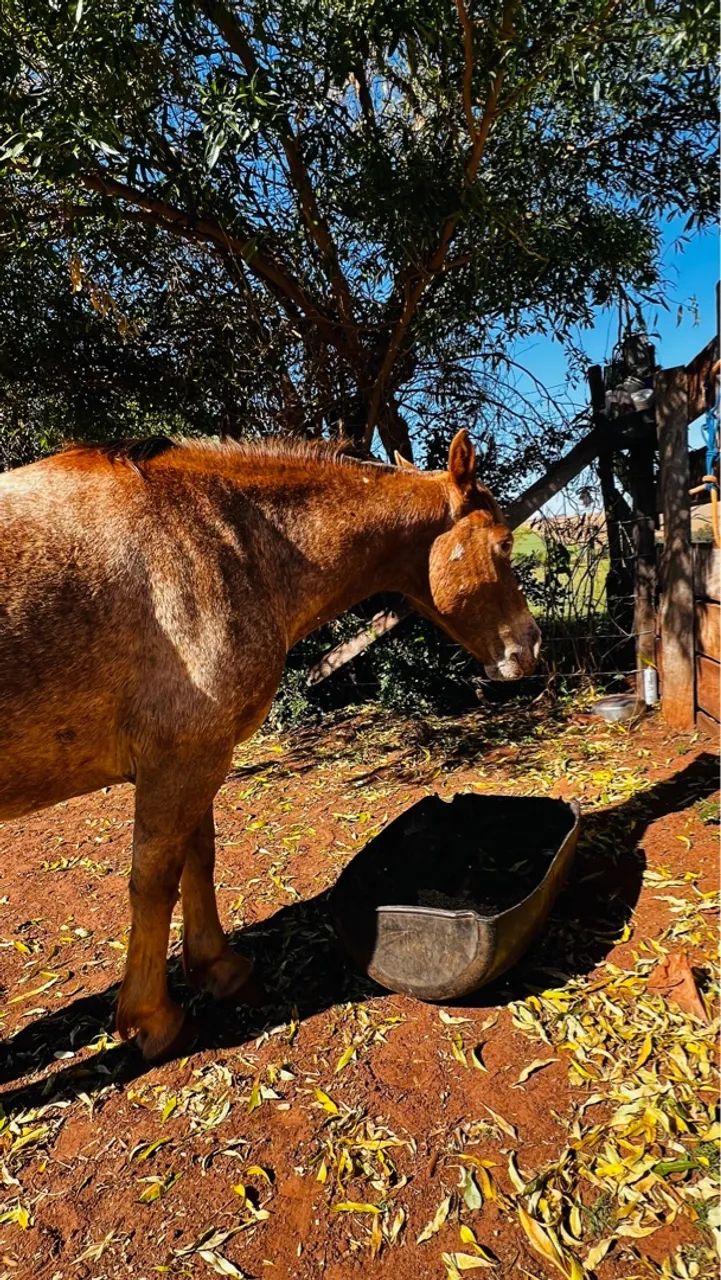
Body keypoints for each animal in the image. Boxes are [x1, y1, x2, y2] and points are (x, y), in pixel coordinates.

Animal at [0, 429, 540, 1060]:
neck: (214, 538)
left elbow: (199, 859)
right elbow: (154, 883)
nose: (532, 646)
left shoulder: (201, 758)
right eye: (504, 543)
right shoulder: (180, 762)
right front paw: (153, 1019)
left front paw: (218, 968)